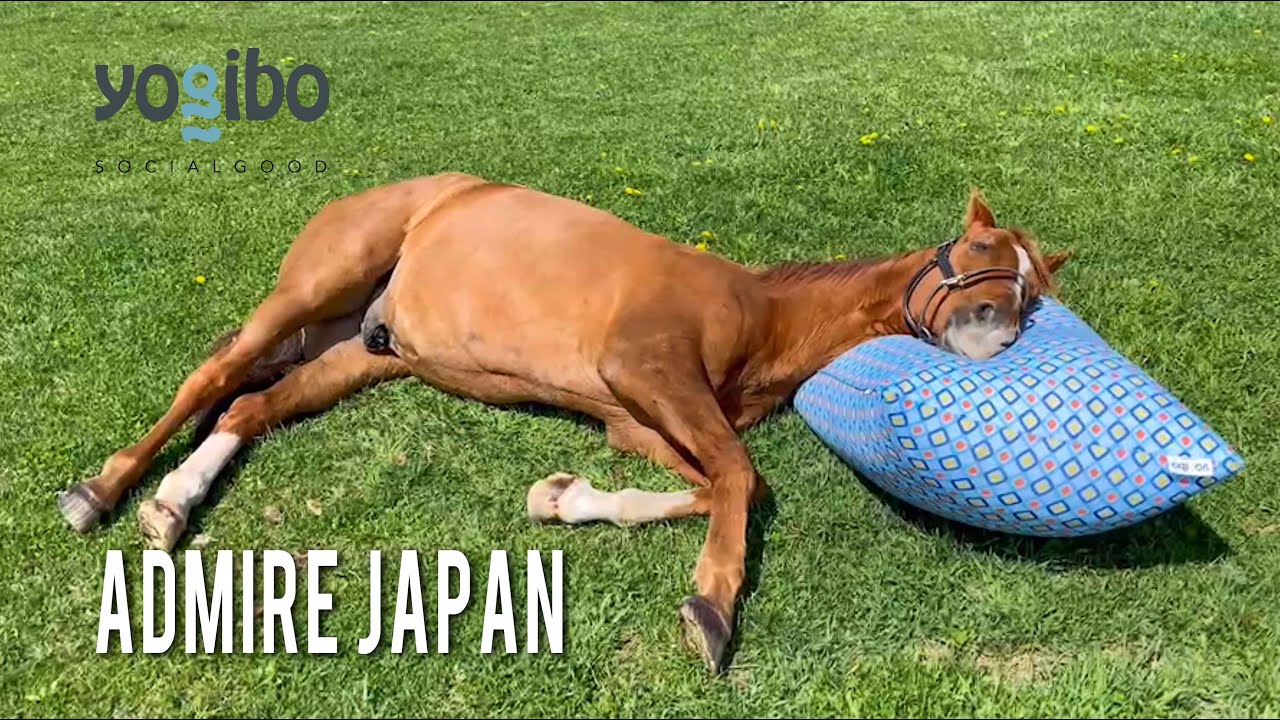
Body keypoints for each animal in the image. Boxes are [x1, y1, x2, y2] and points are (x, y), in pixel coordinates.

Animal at [57, 173, 1070, 673]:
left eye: (1034, 289)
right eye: (976, 250)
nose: (994, 337)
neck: (757, 314)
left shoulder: (640, 420)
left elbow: (713, 483)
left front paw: (563, 498)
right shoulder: (648, 371)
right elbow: (742, 480)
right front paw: (711, 609)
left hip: (368, 350)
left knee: (252, 403)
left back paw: (175, 503)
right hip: (316, 287)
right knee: (215, 374)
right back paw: (105, 491)